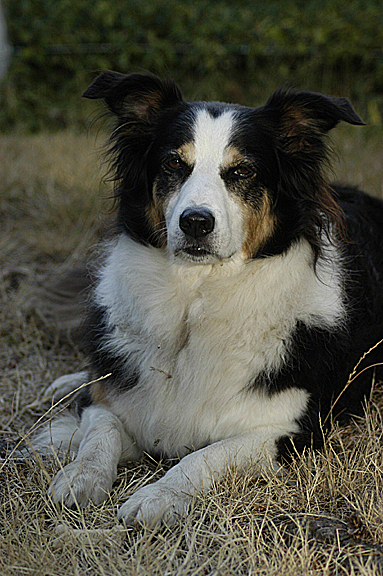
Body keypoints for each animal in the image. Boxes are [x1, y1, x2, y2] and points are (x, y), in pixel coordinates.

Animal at [31, 72, 383, 528]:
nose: (195, 223)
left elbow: (205, 456)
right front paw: (80, 477)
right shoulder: (116, 401)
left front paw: (157, 497)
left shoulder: (286, 430)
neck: (196, 298)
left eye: (243, 170)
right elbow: (100, 430)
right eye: (173, 164)